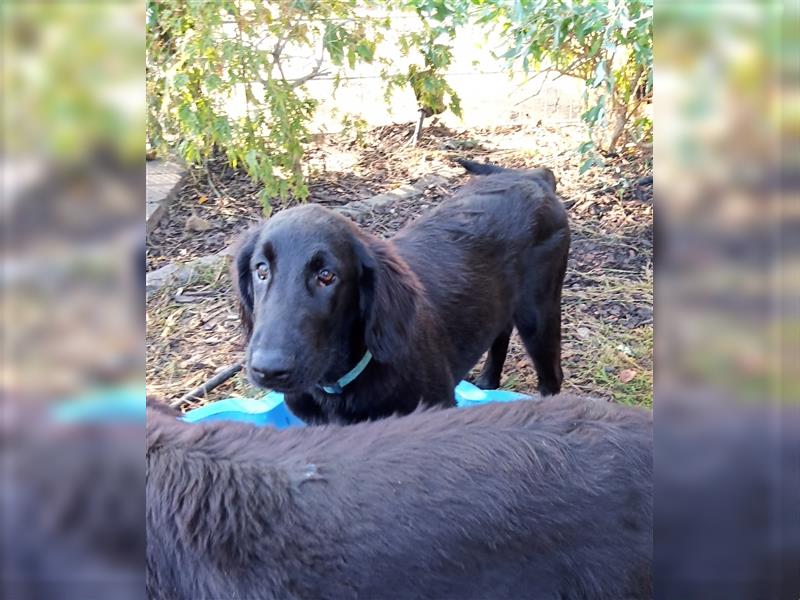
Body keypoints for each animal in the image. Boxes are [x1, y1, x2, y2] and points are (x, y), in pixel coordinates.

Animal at [234, 158, 572, 422]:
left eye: (327, 276)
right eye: (261, 270)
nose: (269, 370)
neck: (338, 384)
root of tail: (533, 178)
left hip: (539, 312)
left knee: (552, 378)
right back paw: (488, 382)